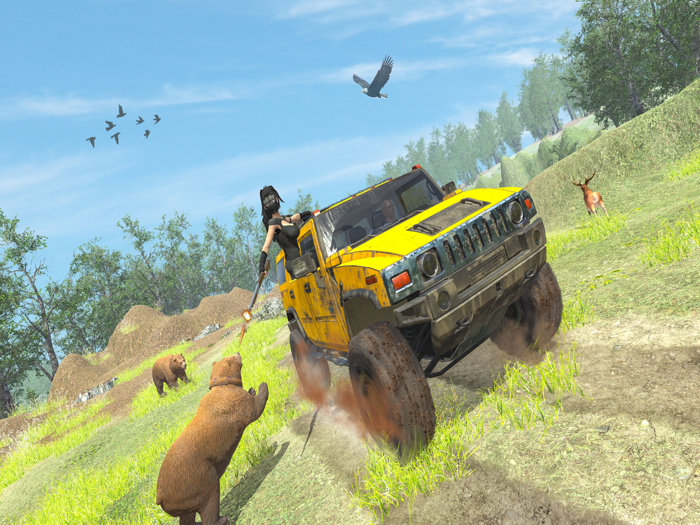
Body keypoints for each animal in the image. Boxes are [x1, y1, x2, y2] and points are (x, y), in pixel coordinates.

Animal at [156, 353, 268, 525]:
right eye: (231, 358)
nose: (237, 353)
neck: (222, 385)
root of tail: (160, 498)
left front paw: (252, 389)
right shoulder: (236, 402)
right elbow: (255, 409)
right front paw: (262, 385)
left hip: (184, 499)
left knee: (187, 515)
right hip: (198, 479)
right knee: (210, 502)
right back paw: (222, 519)